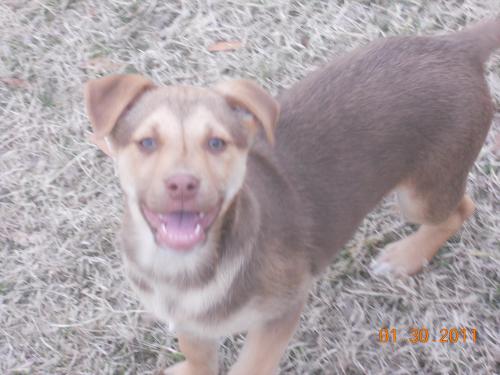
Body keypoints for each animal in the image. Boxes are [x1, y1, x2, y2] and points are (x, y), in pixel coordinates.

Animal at [84, 19, 498, 374]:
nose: (183, 184)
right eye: (147, 143)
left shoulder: (281, 311)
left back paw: (405, 257)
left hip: (421, 194)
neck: (183, 270)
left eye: (216, 143)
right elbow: (199, 356)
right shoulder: (191, 323)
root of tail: (457, 46)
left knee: (461, 209)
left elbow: (250, 367)